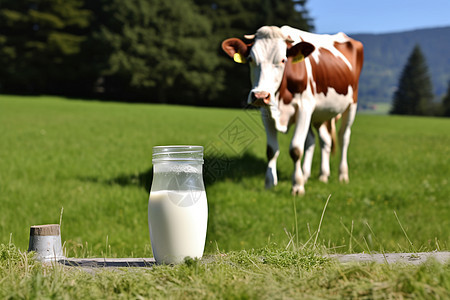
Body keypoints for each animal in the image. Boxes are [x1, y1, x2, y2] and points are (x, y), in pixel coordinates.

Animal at [221, 25, 366, 195]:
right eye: (251, 59)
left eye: (283, 60)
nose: (260, 95)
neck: (281, 98)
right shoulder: (266, 112)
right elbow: (271, 150)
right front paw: (269, 183)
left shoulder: (305, 107)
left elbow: (296, 149)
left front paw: (297, 186)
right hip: (320, 114)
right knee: (322, 140)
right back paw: (319, 175)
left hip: (351, 104)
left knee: (344, 137)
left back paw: (342, 175)